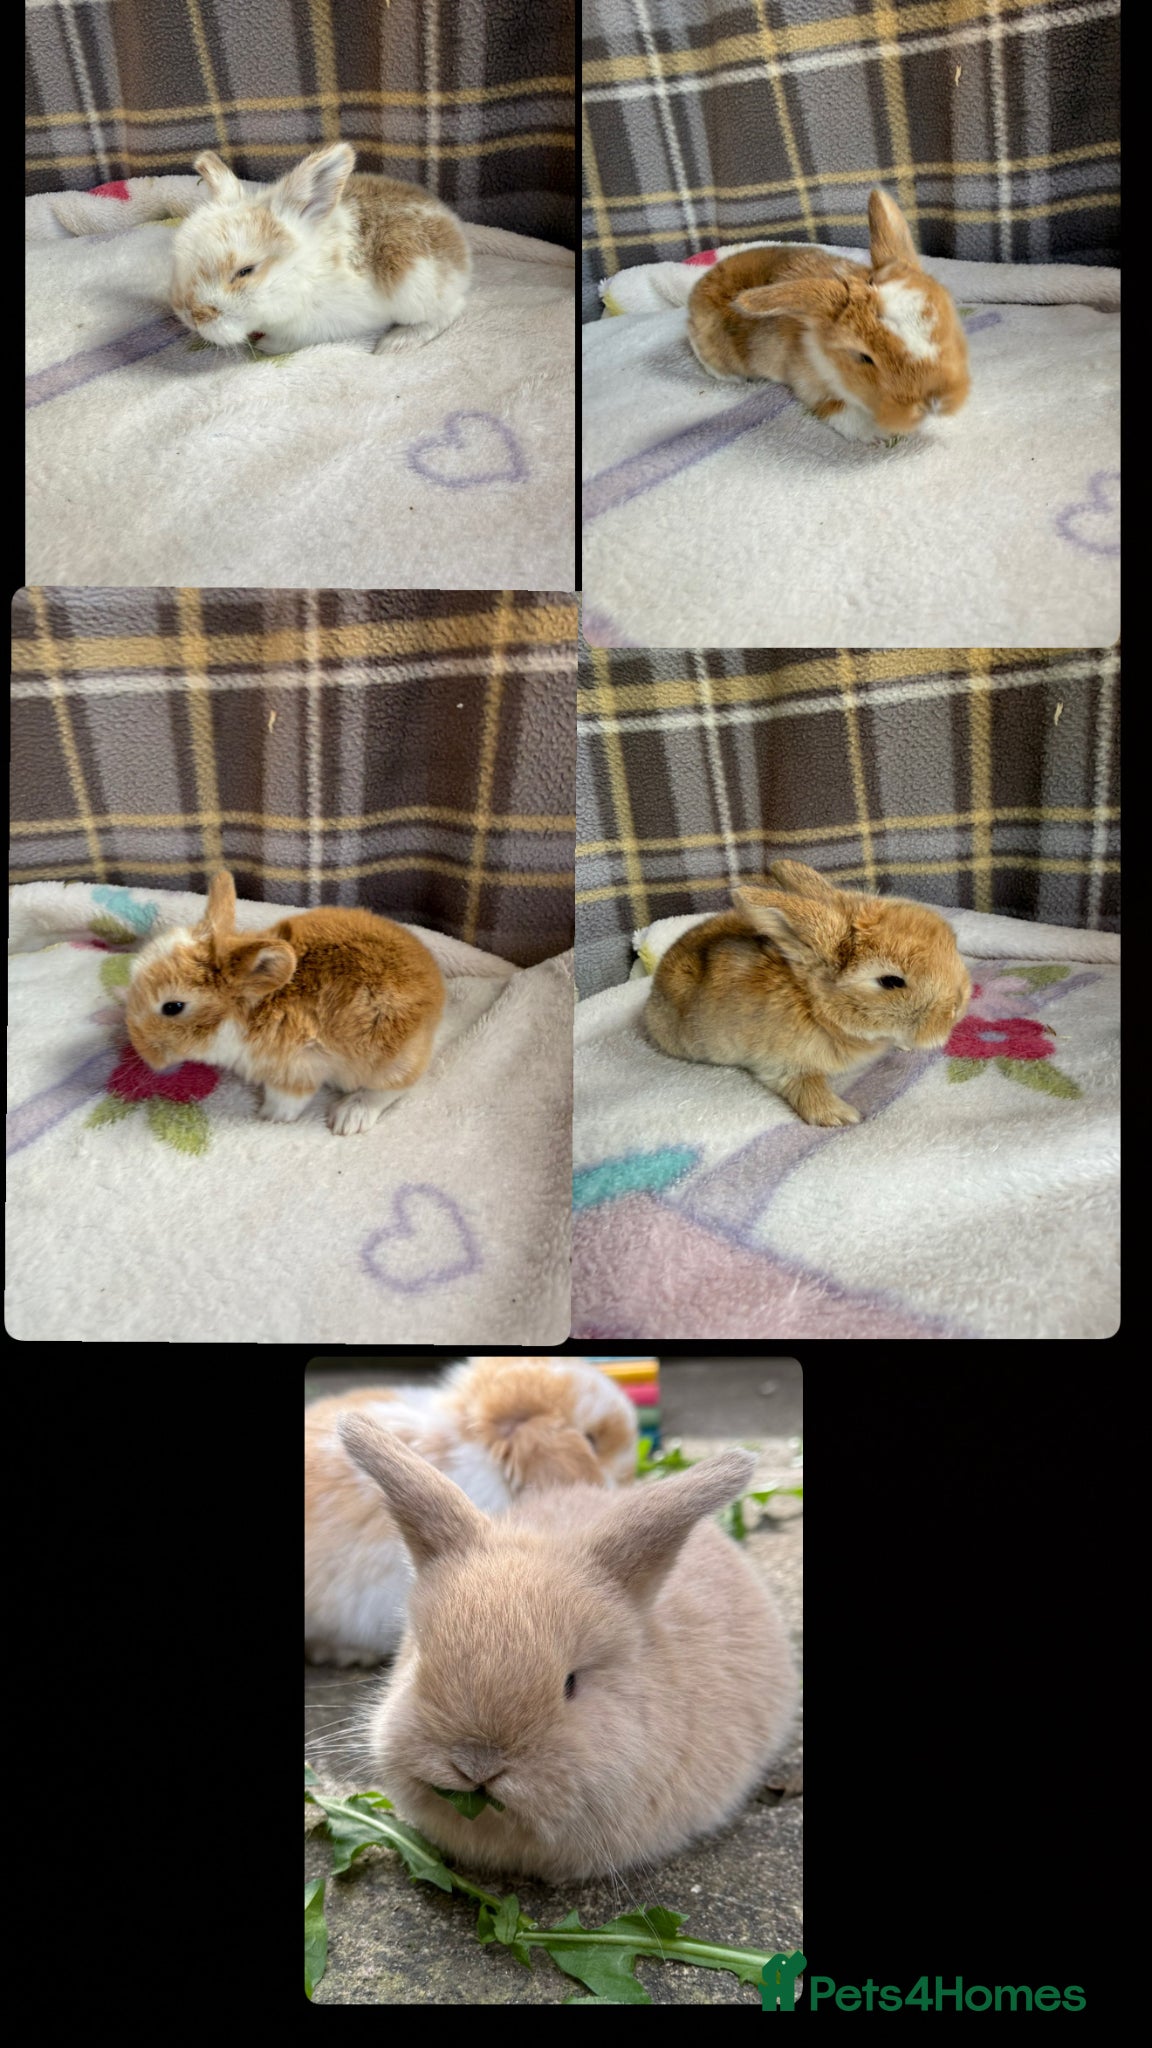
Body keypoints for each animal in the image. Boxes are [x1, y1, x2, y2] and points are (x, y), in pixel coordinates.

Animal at [123, 869, 444, 1135]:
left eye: (173, 1007)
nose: (145, 1055)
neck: (250, 1009)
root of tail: (437, 994)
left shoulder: (296, 1069)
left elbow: (288, 1100)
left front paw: (268, 1117)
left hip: (390, 1062)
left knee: (389, 1089)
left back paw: (348, 1117)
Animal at [170, 140, 471, 355]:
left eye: (245, 271)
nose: (191, 315)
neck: (304, 273)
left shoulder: (313, 328)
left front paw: (265, 346)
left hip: (416, 290)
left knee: (451, 310)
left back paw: (396, 343)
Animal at [645, 860, 971, 1127]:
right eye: (891, 982)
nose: (958, 1007)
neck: (812, 1002)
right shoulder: (784, 1066)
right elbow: (807, 1087)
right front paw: (840, 1116)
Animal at [687, 189, 970, 441]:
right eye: (864, 358)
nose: (935, 401)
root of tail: (699, 287)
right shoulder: (807, 382)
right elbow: (835, 408)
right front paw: (880, 436)